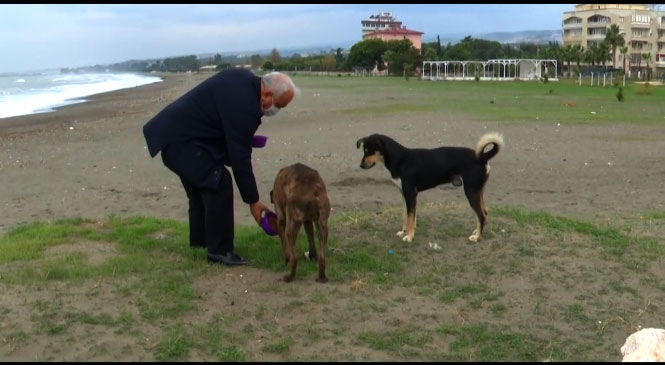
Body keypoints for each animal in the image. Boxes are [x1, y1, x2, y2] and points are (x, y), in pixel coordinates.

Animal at [358, 132, 504, 243]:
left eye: (369, 151)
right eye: (364, 150)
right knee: (485, 212)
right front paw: (404, 232)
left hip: (471, 192)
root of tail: (482, 156)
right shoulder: (404, 194)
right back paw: (478, 231)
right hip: (478, 191)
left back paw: (477, 237)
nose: (361, 165)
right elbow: (406, 216)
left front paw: (409, 237)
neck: (400, 159)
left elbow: (410, 217)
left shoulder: (410, 194)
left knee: (481, 215)